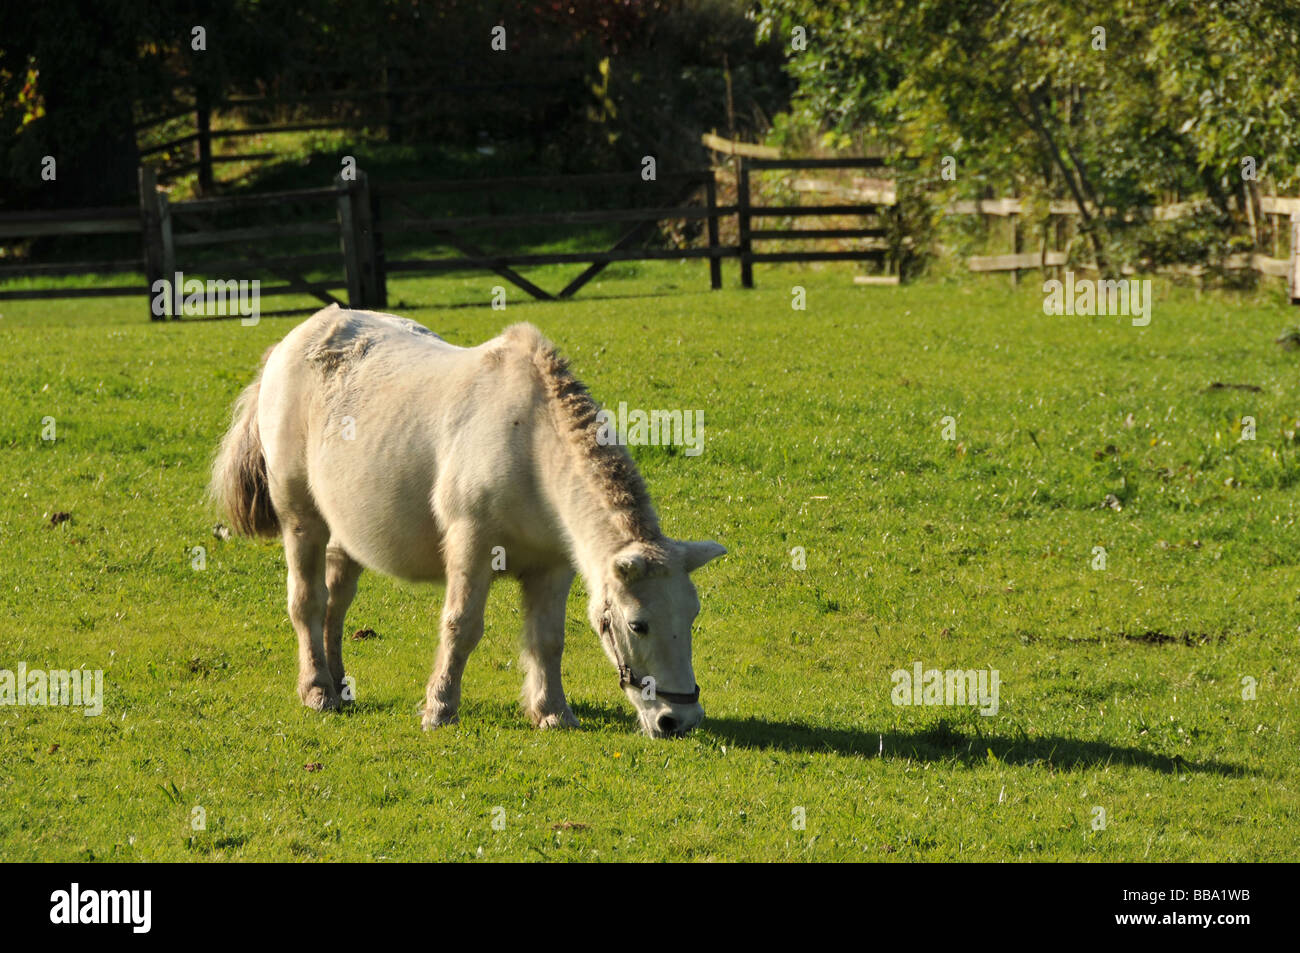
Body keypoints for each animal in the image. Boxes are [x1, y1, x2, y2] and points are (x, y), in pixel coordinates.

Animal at [210, 304, 725, 738]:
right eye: (638, 624)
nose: (679, 720)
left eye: (692, 614)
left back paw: (338, 683)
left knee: (336, 604)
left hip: (344, 533)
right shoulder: (472, 545)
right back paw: (318, 690)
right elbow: (461, 626)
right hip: (302, 520)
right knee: (309, 602)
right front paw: (440, 708)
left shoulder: (553, 566)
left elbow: (547, 639)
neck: (530, 444)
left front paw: (552, 712)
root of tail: (291, 341)